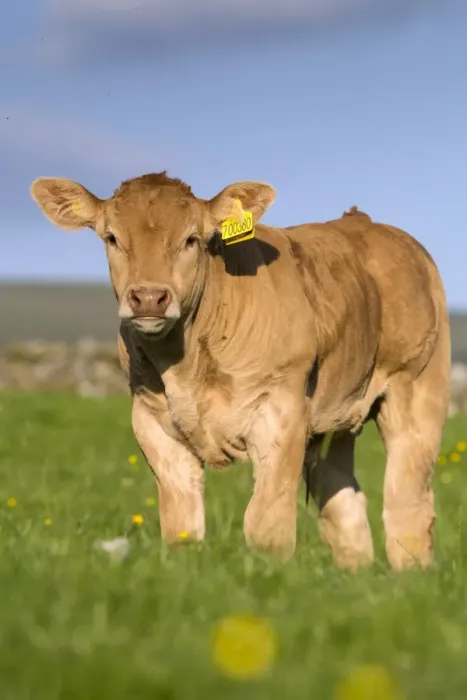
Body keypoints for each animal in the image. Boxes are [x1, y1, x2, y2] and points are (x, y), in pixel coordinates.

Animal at [30, 172, 451, 572]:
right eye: (112, 238)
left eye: (192, 240)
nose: (149, 297)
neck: (188, 365)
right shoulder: (151, 423)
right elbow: (182, 525)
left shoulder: (281, 414)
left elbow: (266, 527)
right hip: (340, 411)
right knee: (343, 497)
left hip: (418, 388)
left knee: (408, 502)